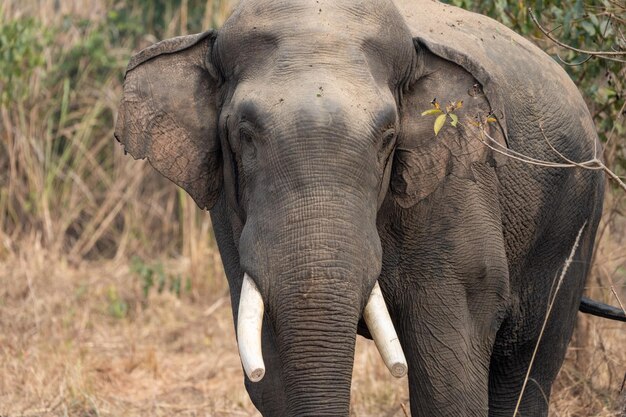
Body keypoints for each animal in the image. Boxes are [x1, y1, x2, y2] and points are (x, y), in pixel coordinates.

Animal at [114, 0, 620, 416]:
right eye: (244, 135)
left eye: (387, 139)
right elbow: (271, 378)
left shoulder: (455, 190)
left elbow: (448, 375)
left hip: (575, 217)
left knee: (526, 363)